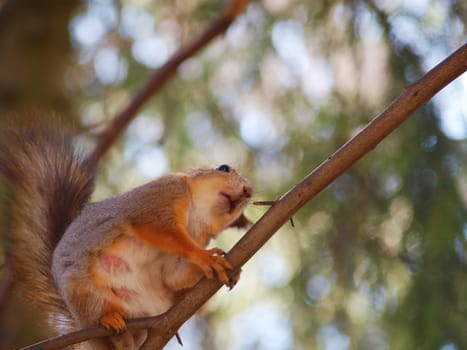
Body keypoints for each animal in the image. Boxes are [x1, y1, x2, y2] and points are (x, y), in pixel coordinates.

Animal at [0, 123, 254, 350]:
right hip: (82, 290)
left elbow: (173, 276)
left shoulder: (195, 238)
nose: (248, 191)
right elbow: (162, 231)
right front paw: (206, 257)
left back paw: (126, 338)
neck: (196, 217)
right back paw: (109, 321)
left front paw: (228, 267)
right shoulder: (161, 197)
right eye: (223, 168)